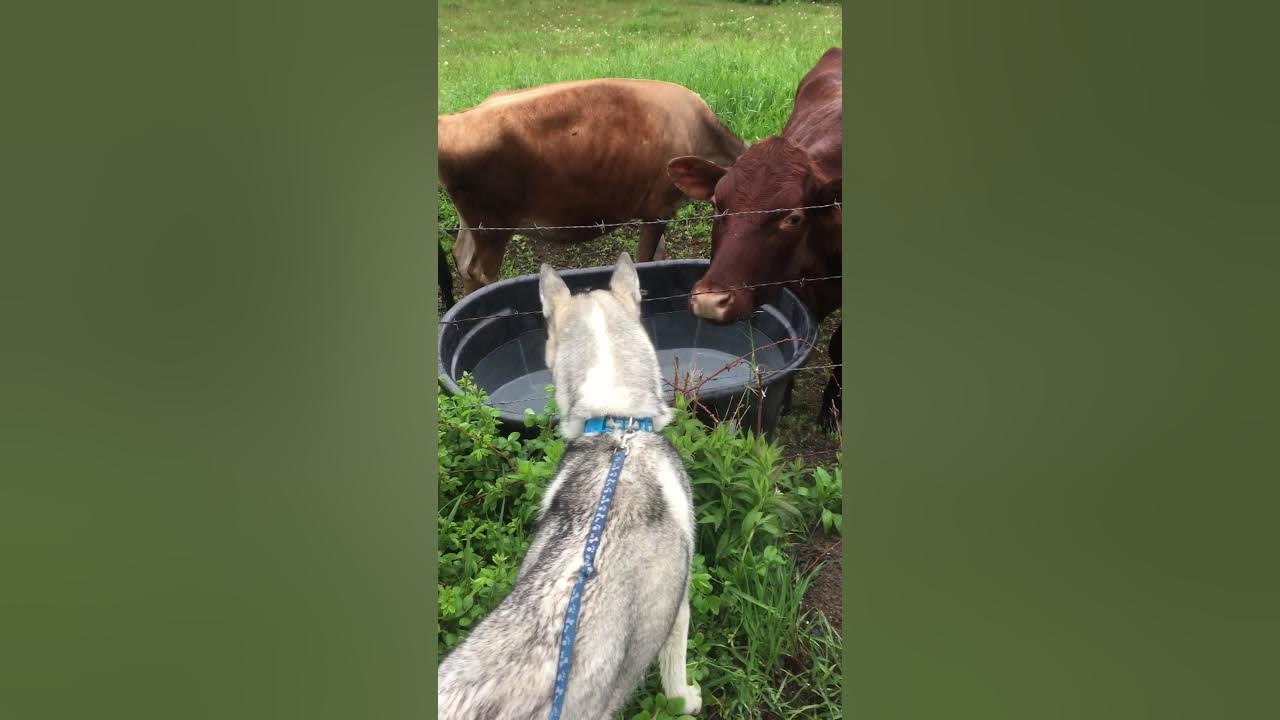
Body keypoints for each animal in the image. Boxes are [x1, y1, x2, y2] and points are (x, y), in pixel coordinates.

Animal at [438, 79, 747, 293]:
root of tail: (453, 121)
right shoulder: (658, 207)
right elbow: (644, 260)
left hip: (473, 223)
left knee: (462, 259)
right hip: (493, 226)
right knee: (480, 271)